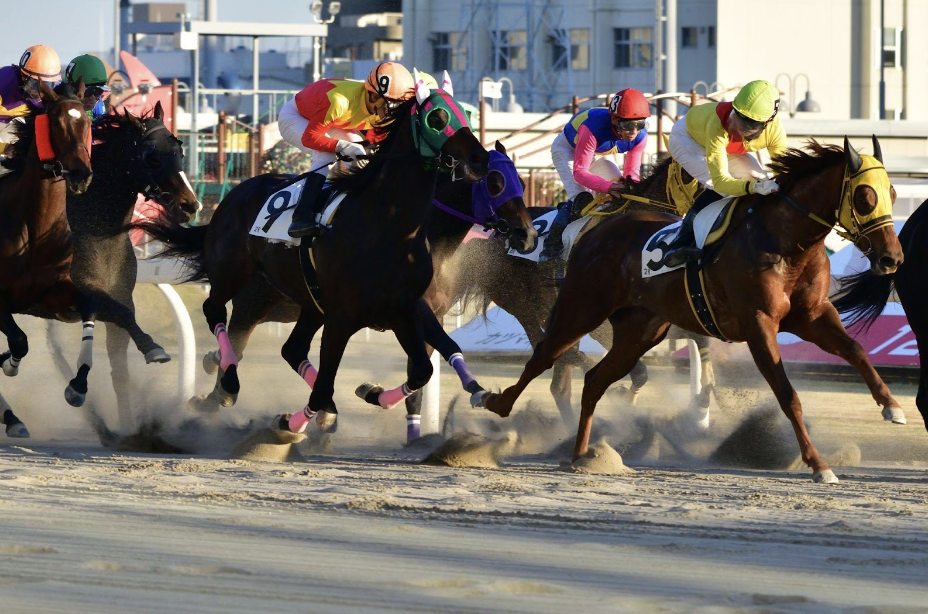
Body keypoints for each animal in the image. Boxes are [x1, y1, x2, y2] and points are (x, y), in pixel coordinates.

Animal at [0, 82, 93, 436]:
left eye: (88, 122)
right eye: (55, 123)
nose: (81, 174)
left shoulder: (54, 292)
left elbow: (89, 305)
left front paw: (78, 386)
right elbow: (19, 342)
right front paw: (8, 364)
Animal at [138, 80, 497, 434]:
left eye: (465, 113)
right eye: (437, 118)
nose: (480, 159)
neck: (389, 228)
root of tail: (231, 196)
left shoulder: (405, 309)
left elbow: (423, 370)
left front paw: (372, 392)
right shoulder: (342, 317)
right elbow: (325, 385)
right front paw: (292, 423)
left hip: (308, 301)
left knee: (291, 347)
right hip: (234, 275)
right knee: (215, 311)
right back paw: (228, 383)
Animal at [484, 137, 906, 484]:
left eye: (893, 192)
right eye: (865, 196)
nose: (892, 258)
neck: (784, 241)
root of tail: (594, 233)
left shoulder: (812, 315)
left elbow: (855, 349)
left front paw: (892, 407)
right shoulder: (759, 324)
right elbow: (787, 395)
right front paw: (818, 464)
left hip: (640, 332)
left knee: (595, 380)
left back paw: (582, 455)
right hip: (582, 307)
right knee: (546, 355)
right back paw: (496, 402)